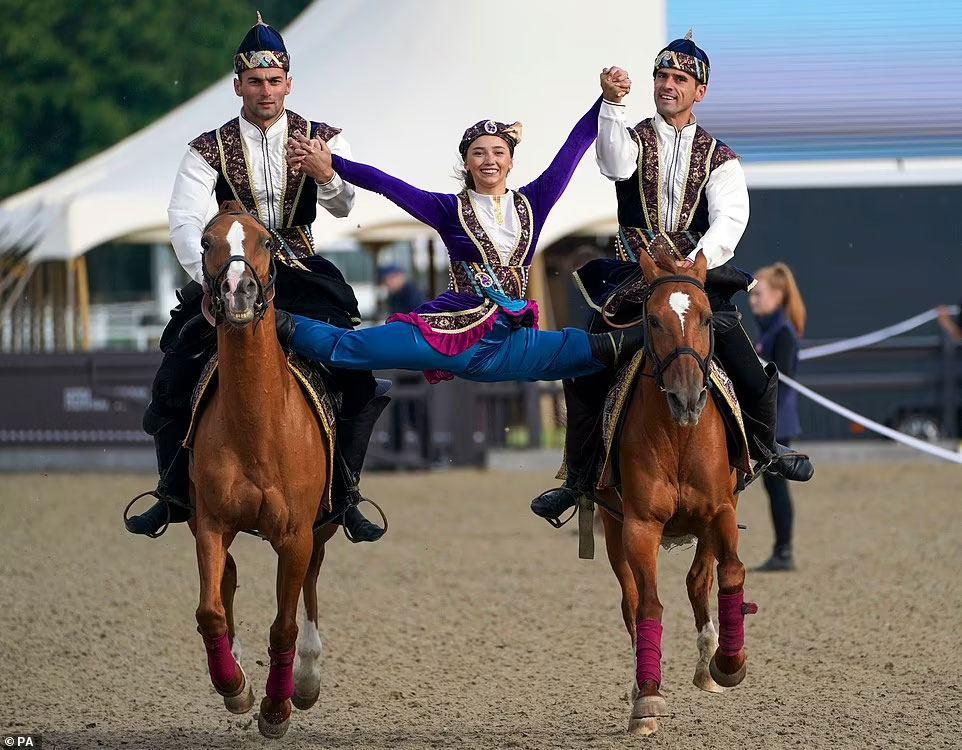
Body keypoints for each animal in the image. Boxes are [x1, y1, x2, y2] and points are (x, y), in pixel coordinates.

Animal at [188, 203, 338, 744]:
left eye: (267, 242)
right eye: (206, 240)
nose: (238, 290)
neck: (256, 424)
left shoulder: (295, 535)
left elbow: (284, 624)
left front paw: (277, 707)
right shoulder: (210, 524)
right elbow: (210, 610)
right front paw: (236, 687)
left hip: (321, 528)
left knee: (311, 582)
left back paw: (307, 678)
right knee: (227, 581)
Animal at [592, 245, 756, 736]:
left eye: (705, 317)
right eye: (653, 319)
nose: (687, 398)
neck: (678, 436)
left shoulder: (721, 511)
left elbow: (730, 573)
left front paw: (728, 663)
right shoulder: (639, 527)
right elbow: (647, 606)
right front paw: (646, 697)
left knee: (700, 579)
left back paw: (709, 662)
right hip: (612, 530)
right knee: (631, 602)